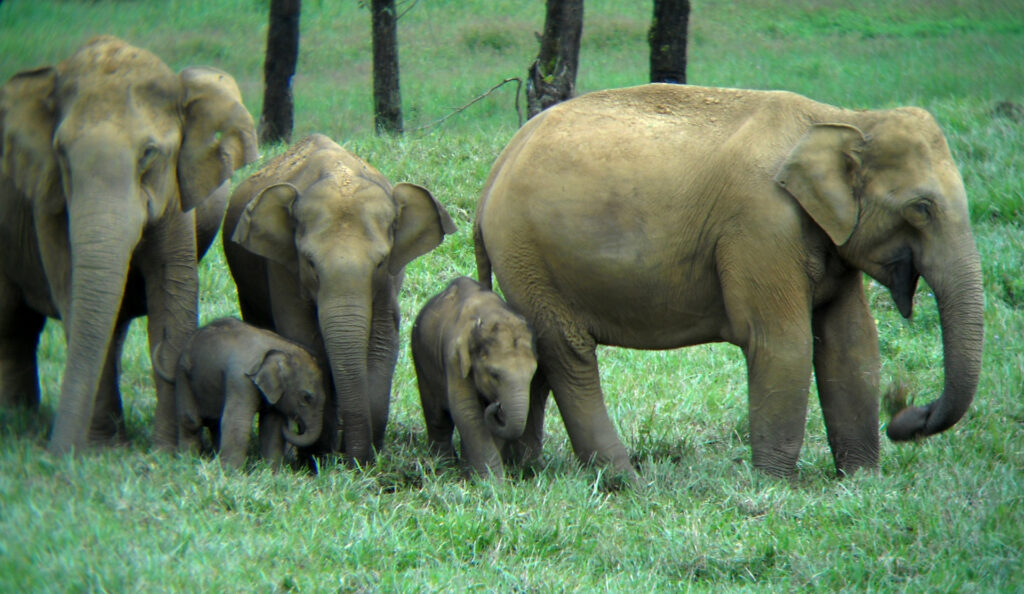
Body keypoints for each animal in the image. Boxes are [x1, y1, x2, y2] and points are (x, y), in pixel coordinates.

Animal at [0, 36, 258, 453]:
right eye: (62, 154)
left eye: (149, 153)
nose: (58, 455)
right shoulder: (47, 200)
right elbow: (72, 290)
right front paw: (101, 449)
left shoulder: (176, 192)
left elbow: (171, 287)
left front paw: (167, 452)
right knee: (13, 322)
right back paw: (19, 418)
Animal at [161, 317, 327, 469]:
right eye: (306, 397)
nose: (293, 424)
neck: (280, 347)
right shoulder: (239, 380)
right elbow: (238, 422)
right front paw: (231, 474)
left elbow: (272, 426)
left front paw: (273, 473)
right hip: (183, 374)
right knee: (191, 421)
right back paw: (188, 462)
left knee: (215, 422)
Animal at [223, 133, 457, 464]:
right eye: (310, 262)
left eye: (380, 262)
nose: (353, 458)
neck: (337, 173)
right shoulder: (283, 269)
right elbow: (305, 340)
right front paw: (318, 459)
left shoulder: (387, 281)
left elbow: (382, 342)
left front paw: (365, 457)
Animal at [411, 276, 537, 479]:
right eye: (494, 374)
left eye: (533, 375)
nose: (497, 405)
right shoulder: (454, 360)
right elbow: (467, 411)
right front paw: (493, 482)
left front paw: (481, 479)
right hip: (422, 360)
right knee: (438, 418)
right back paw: (443, 468)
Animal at [473, 83, 984, 480]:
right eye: (921, 209)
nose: (906, 415)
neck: (842, 118)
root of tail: (496, 168)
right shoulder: (760, 226)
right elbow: (782, 342)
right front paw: (775, 486)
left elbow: (851, 343)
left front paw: (861, 481)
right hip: (529, 250)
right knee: (569, 353)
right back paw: (625, 480)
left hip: (527, 261)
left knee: (540, 351)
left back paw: (529, 468)